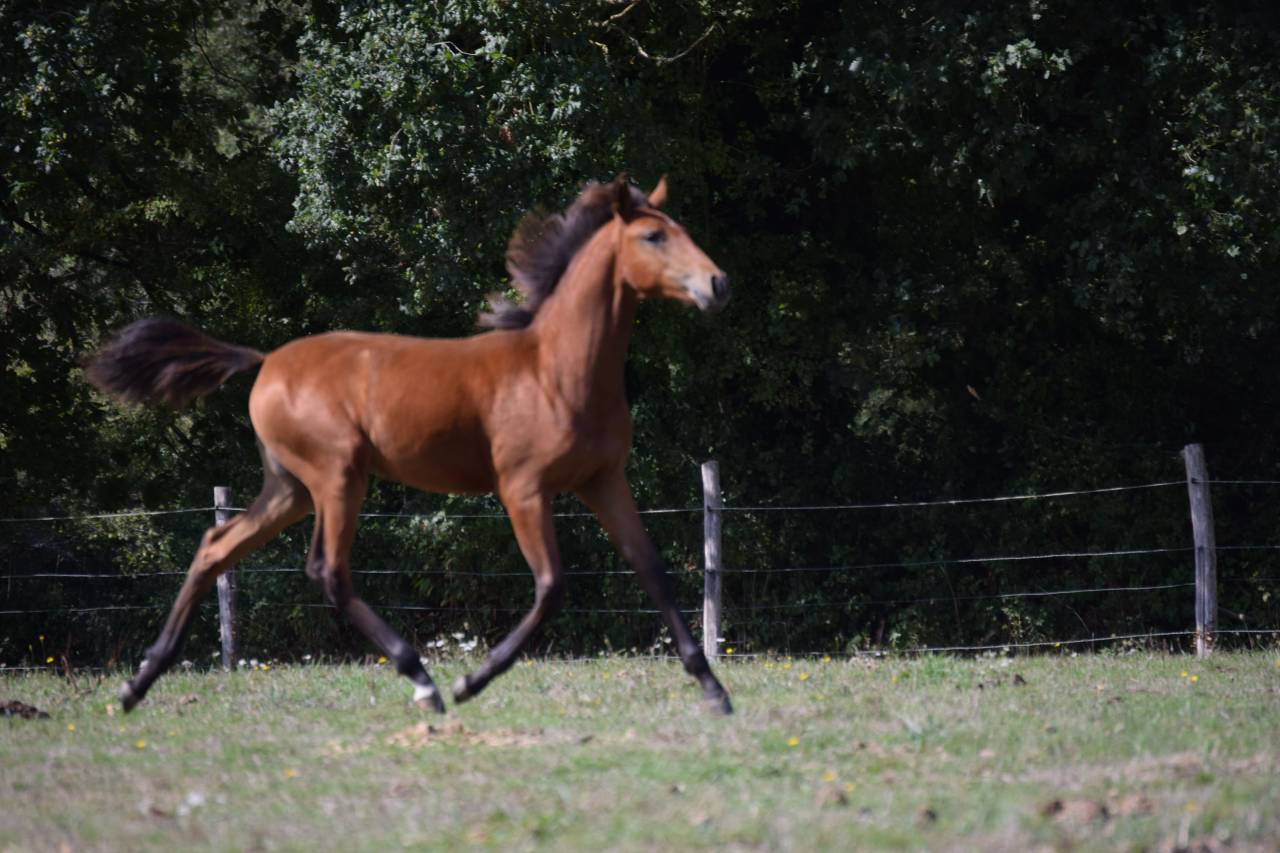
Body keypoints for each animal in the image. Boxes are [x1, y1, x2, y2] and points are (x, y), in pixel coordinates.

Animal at [86, 176, 734, 715]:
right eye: (653, 235)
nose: (717, 283)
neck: (557, 369)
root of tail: (266, 361)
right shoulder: (523, 489)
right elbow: (552, 587)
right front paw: (471, 681)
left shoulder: (603, 481)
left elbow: (653, 569)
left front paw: (712, 688)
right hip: (338, 477)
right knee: (327, 570)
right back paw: (423, 681)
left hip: (291, 488)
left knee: (215, 547)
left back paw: (137, 684)